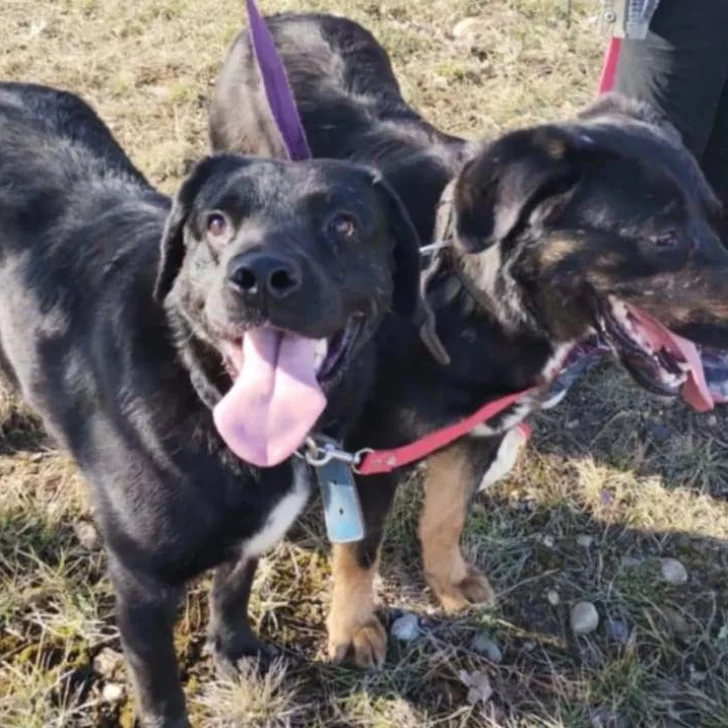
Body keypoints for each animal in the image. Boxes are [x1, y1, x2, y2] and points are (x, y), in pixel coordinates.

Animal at [0, 82, 432, 724]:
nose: (261, 275)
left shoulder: (251, 534)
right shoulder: (141, 583)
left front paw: (234, 651)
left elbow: (233, 586)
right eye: (217, 223)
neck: (202, 388)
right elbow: (160, 692)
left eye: (345, 224)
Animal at [209, 11, 728, 672]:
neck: (468, 293)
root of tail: (280, 17)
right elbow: (361, 550)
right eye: (664, 237)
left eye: (716, 218)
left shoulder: (482, 430)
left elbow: (447, 514)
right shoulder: (373, 451)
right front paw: (354, 627)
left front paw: (449, 581)